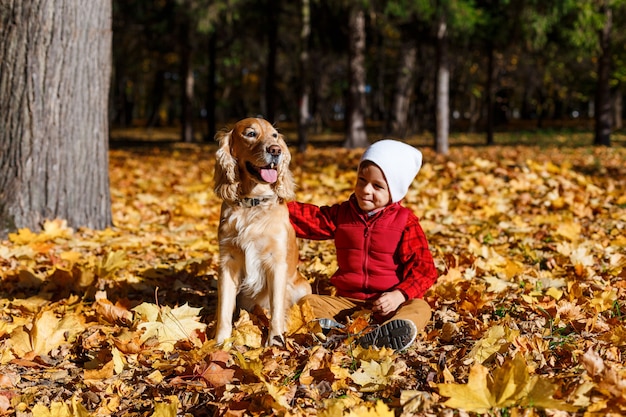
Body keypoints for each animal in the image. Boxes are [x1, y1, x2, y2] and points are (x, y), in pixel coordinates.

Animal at [213, 116, 310, 344]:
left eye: (274, 136)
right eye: (250, 134)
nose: (275, 150)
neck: (253, 202)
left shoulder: (276, 262)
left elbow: (276, 308)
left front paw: (275, 341)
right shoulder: (228, 260)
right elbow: (224, 309)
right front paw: (220, 342)